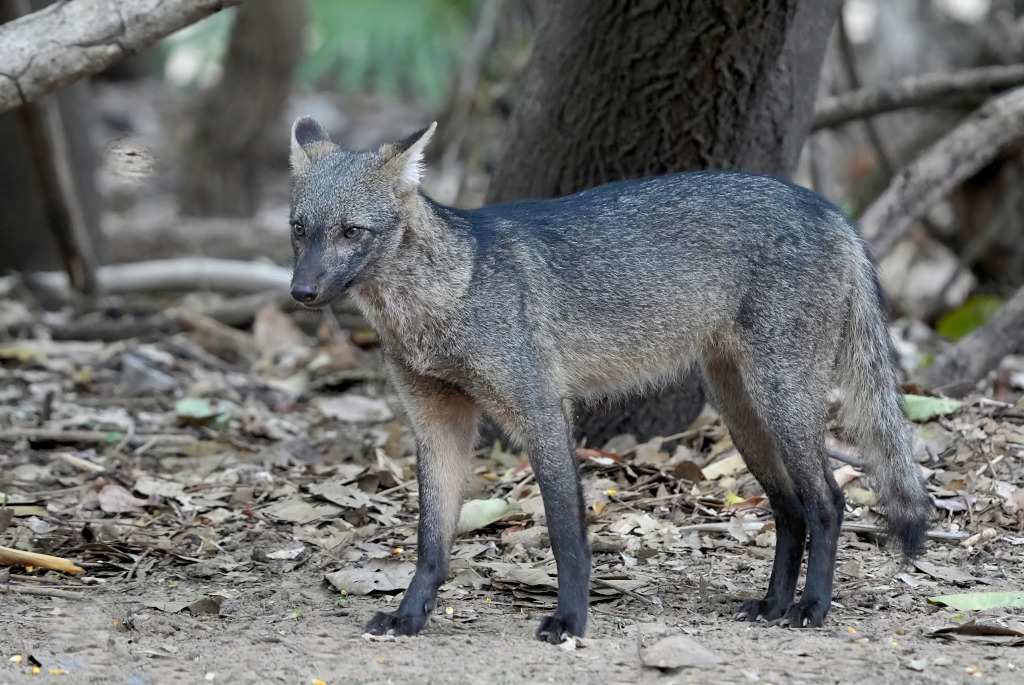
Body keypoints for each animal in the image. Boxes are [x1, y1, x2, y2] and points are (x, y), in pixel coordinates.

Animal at [286, 116, 933, 643]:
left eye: (352, 232)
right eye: (299, 229)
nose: (301, 292)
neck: (436, 304)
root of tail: (828, 209)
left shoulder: (540, 411)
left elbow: (566, 532)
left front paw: (571, 620)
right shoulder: (437, 423)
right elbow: (431, 543)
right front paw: (410, 615)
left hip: (782, 404)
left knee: (829, 503)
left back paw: (813, 608)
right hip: (744, 416)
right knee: (790, 509)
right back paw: (773, 604)